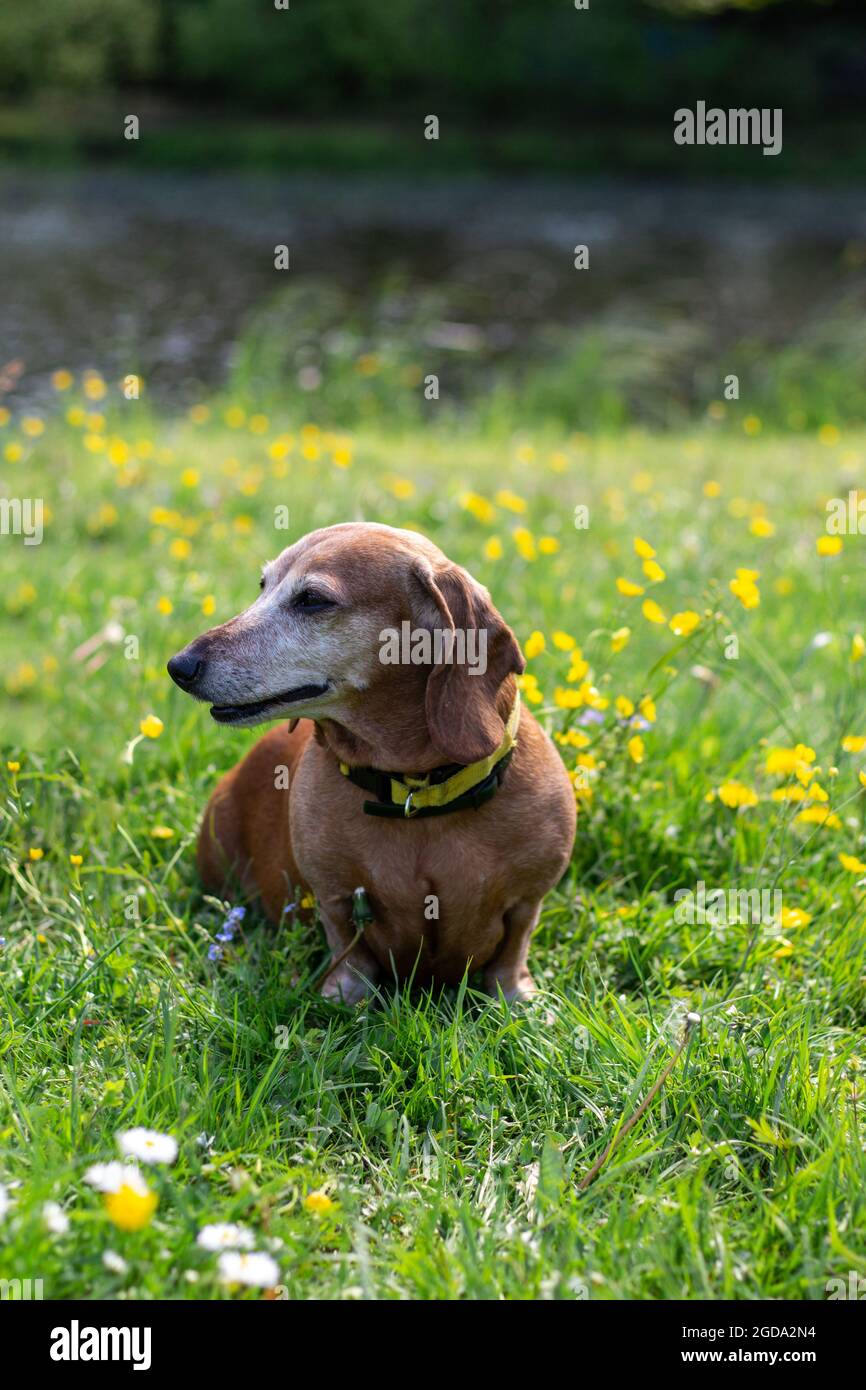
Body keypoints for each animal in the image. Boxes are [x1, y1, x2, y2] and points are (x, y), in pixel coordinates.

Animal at [167, 522, 575, 1000]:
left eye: (312, 599)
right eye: (263, 585)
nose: (179, 666)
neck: (417, 793)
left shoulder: (528, 900)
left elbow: (512, 953)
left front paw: (515, 999)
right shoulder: (335, 898)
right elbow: (348, 951)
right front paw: (344, 1000)